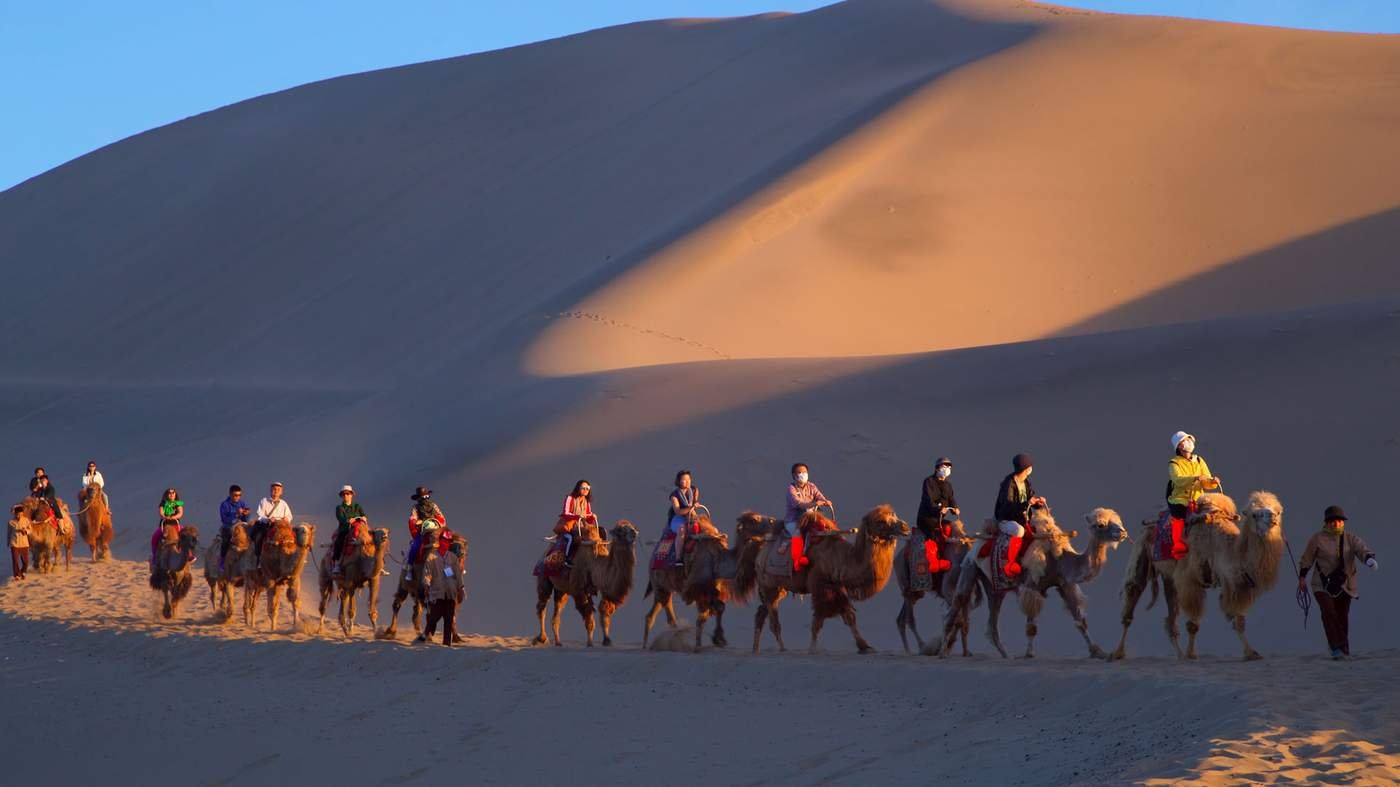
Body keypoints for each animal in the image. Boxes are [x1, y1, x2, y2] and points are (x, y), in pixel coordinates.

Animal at [641, 509, 767, 649]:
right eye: (754, 520)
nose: (772, 522)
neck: (718, 559)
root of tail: (653, 556)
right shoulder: (698, 587)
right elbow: (715, 609)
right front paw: (718, 639)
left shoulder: (712, 586)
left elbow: (712, 612)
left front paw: (713, 641)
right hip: (660, 584)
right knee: (666, 611)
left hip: (663, 587)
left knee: (654, 613)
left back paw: (650, 644)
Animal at [744, 504, 907, 652]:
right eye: (880, 521)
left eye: (895, 515)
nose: (905, 527)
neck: (842, 557)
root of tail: (760, 553)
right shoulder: (820, 585)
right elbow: (818, 619)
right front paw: (812, 648)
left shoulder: (837, 586)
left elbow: (849, 617)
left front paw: (865, 647)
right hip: (769, 586)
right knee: (773, 620)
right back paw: (782, 648)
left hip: (778, 589)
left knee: (761, 613)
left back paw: (755, 648)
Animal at [1108, 492, 1282, 658]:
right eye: (1255, 514)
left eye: (1277, 511)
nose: (1273, 518)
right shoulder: (1190, 579)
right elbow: (1193, 625)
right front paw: (1191, 654)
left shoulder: (1233, 584)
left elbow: (1238, 620)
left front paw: (1251, 653)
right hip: (1141, 552)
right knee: (1132, 597)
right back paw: (1117, 653)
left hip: (1169, 576)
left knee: (1171, 613)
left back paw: (1179, 655)